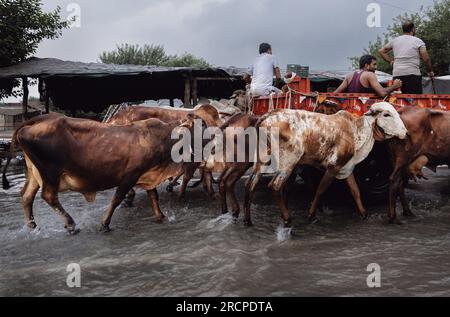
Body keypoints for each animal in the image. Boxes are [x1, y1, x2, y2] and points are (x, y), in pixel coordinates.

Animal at [1, 113, 202, 232]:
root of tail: (33, 123)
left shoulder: (146, 174)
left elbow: (154, 196)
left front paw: (160, 216)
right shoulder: (130, 175)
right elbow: (117, 199)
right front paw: (105, 223)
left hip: (35, 174)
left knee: (27, 196)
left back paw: (32, 226)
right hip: (50, 172)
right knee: (49, 196)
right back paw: (70, 224)